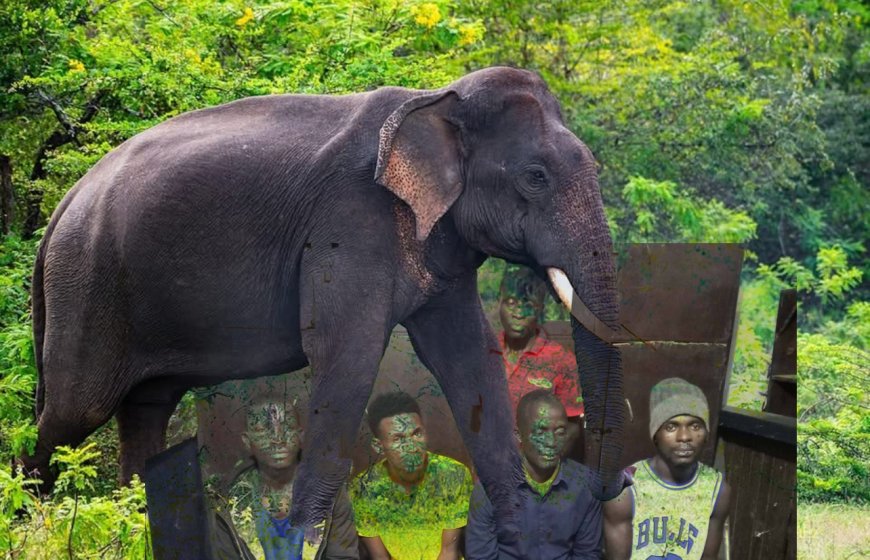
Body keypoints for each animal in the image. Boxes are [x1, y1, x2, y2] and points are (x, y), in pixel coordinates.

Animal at [24, 66, 624, 527]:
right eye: (535, 176)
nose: (610, 489)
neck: (434, 99)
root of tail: (60, 209)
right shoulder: (350, 223)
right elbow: (346, 355)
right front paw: (304, 532)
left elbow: (469, 355)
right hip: (87, 285)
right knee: (73, 412)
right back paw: (38, 521)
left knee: (146, 410)